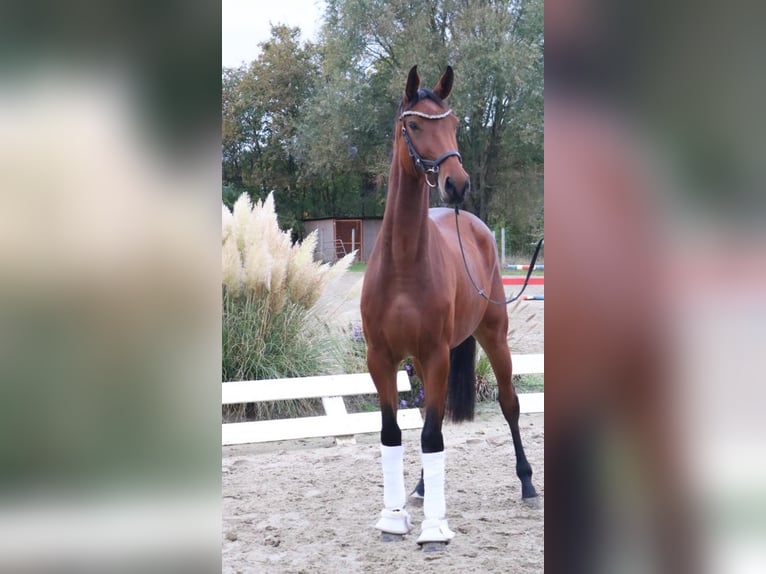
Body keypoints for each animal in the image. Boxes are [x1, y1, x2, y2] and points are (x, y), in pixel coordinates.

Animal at [360, 65, 539, 551]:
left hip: (494, 337)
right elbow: (396, 433)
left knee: (509, 405)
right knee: (427, 419)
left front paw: (435, 531)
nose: (457, 184)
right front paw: (392, 520)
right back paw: (422, 489)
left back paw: (528, 484)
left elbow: (433, 435)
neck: (404, 265)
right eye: (415, 124)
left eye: (454, 124)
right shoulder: (382, 359)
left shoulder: (437, 355)